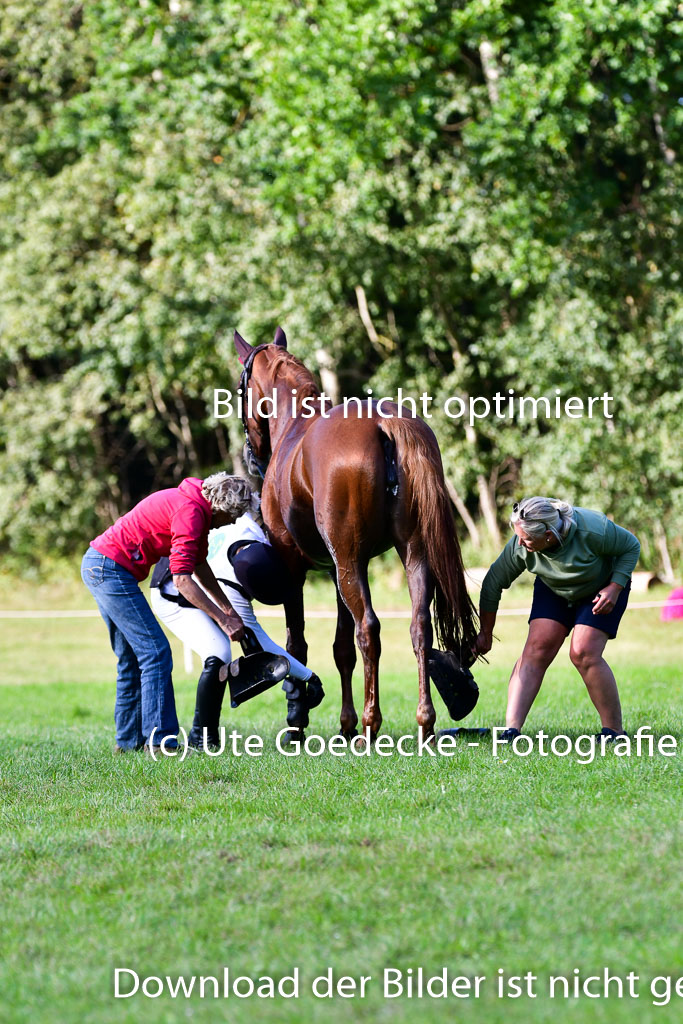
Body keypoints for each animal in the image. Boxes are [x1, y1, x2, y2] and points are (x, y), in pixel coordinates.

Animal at [233, 327, 475, 737]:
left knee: (369, 630)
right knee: (419, 628)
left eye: (240, 387)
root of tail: (383, 423)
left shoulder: (295, 566)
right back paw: (424, 722)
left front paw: (298, 720)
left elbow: (298, 644)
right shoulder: (336, 570)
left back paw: (370, 723)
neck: (295, 426)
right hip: (410, 555)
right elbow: (341, 647)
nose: (251, 454)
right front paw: (343, 724)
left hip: (351, 563)